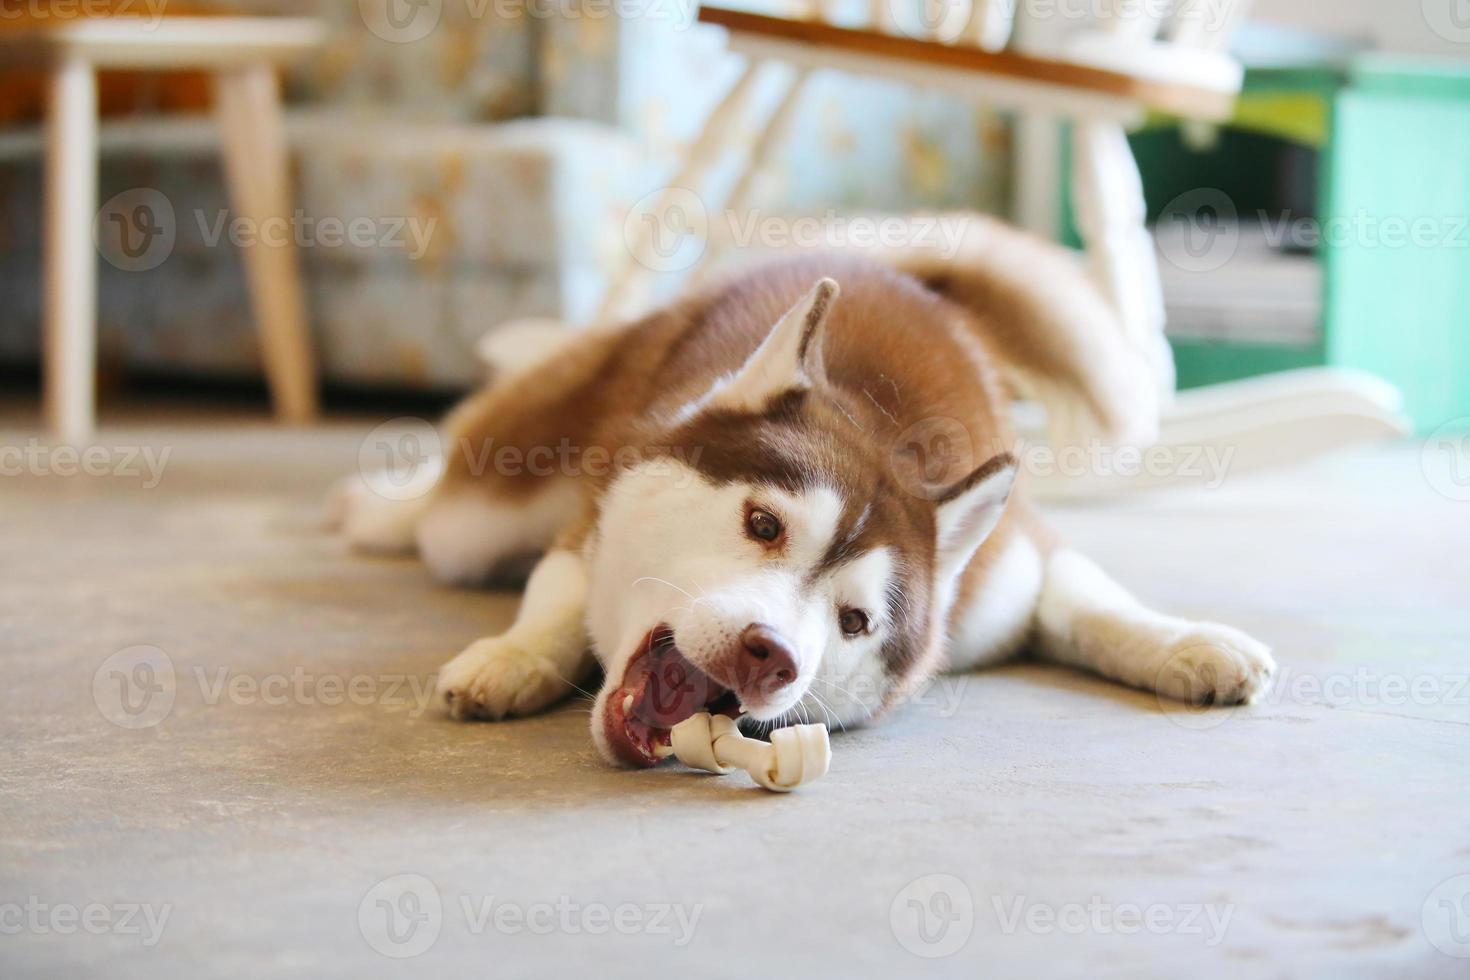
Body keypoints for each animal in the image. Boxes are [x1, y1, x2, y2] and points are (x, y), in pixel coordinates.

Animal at [333, 220, 1275, 764]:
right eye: (762, 523)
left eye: (854, 622)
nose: (769, 654)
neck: (888, 429)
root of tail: (890, 269)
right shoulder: (585, 527)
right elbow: (559, 597)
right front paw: (516, 654)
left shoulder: (1004, 573)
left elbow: (1089, 597)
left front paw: (1187, 642)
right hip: (494, 498)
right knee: (455, 500)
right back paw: (380, 504)